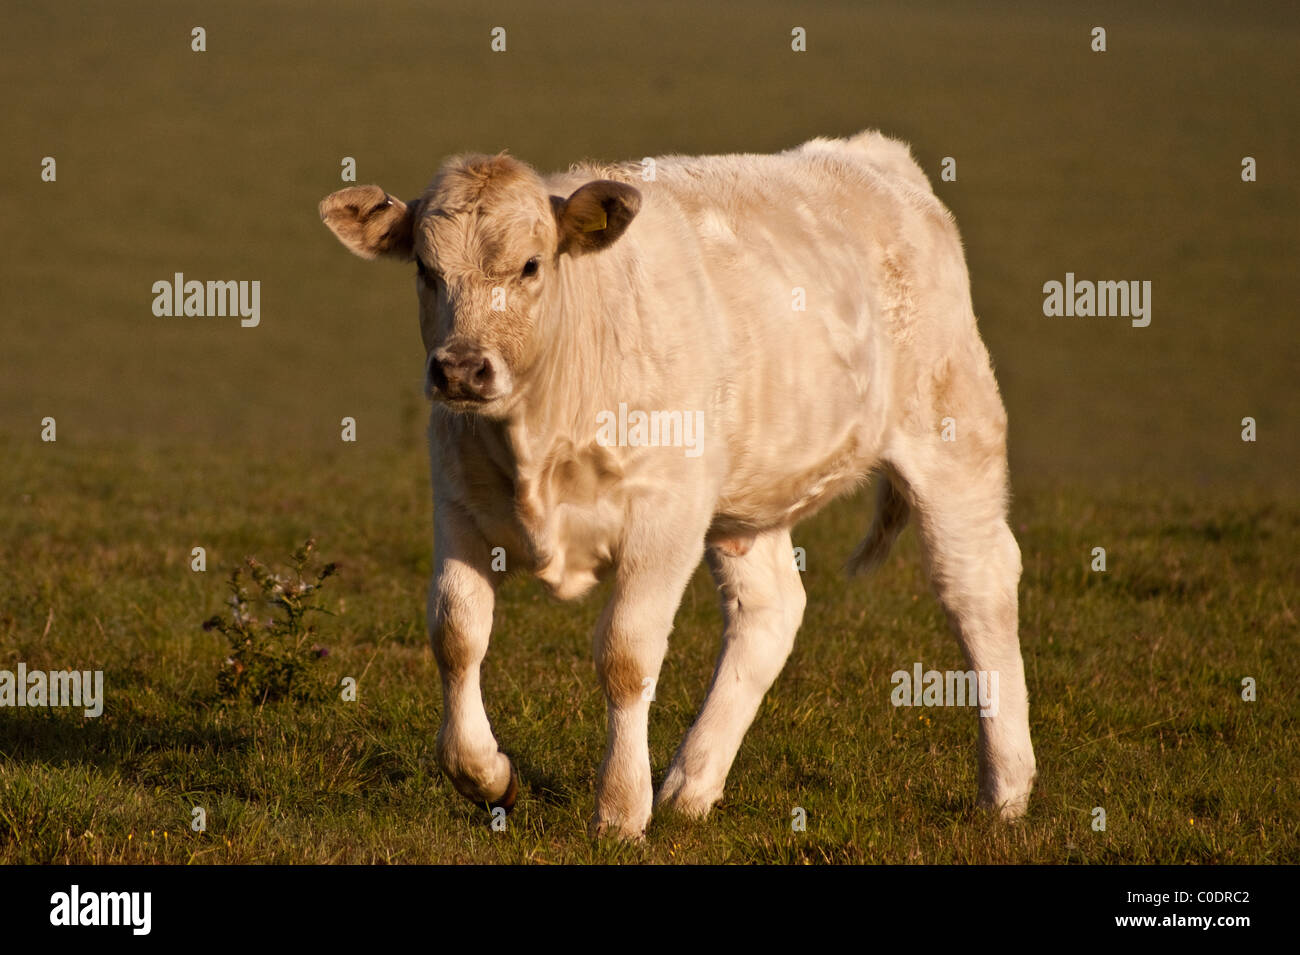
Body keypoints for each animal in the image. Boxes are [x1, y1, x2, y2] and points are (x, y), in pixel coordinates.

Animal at [322, 130, 1034, 841]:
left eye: (530, 266)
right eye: (426, 269)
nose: (462, 370)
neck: (540, 432)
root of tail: (868, 156)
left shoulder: (664, 519)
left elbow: (626, 655)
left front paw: (619, 809)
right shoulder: (459, 508)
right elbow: (456, 634)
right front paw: (485, 775)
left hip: (953, 436)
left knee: (977, 586)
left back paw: (1006, 789)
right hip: (745, 500)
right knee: (771, 609)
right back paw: (691, 786)